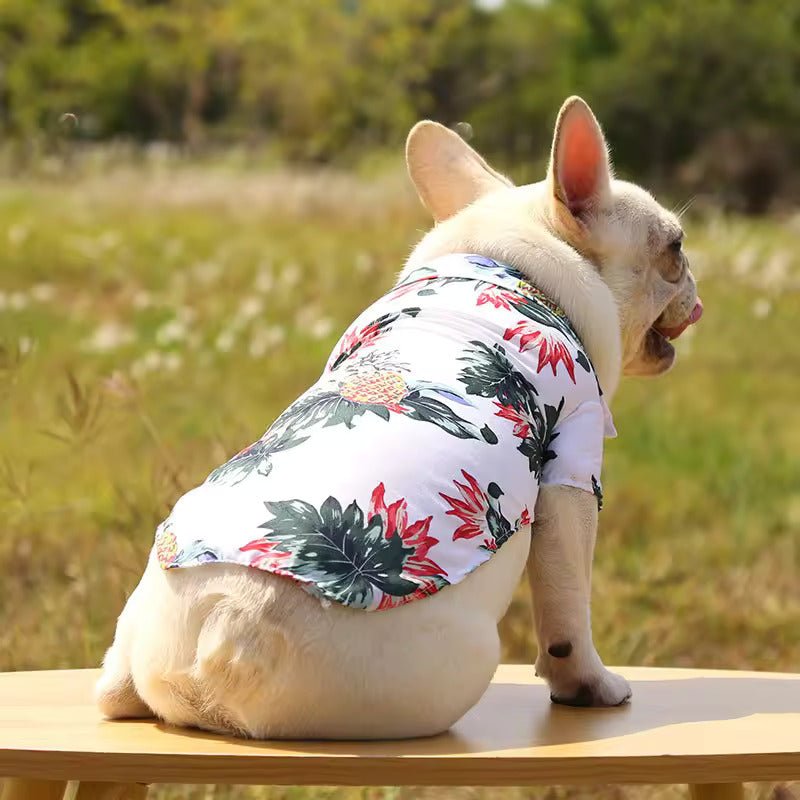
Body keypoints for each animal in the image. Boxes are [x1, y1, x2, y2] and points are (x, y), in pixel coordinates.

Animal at [97, 97, 704, 740]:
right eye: (675, 248)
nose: (694, 278)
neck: (512, 263)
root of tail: (221, 633)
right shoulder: (572, 468)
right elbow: (568, 605)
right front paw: (590, 686)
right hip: (451, 665)